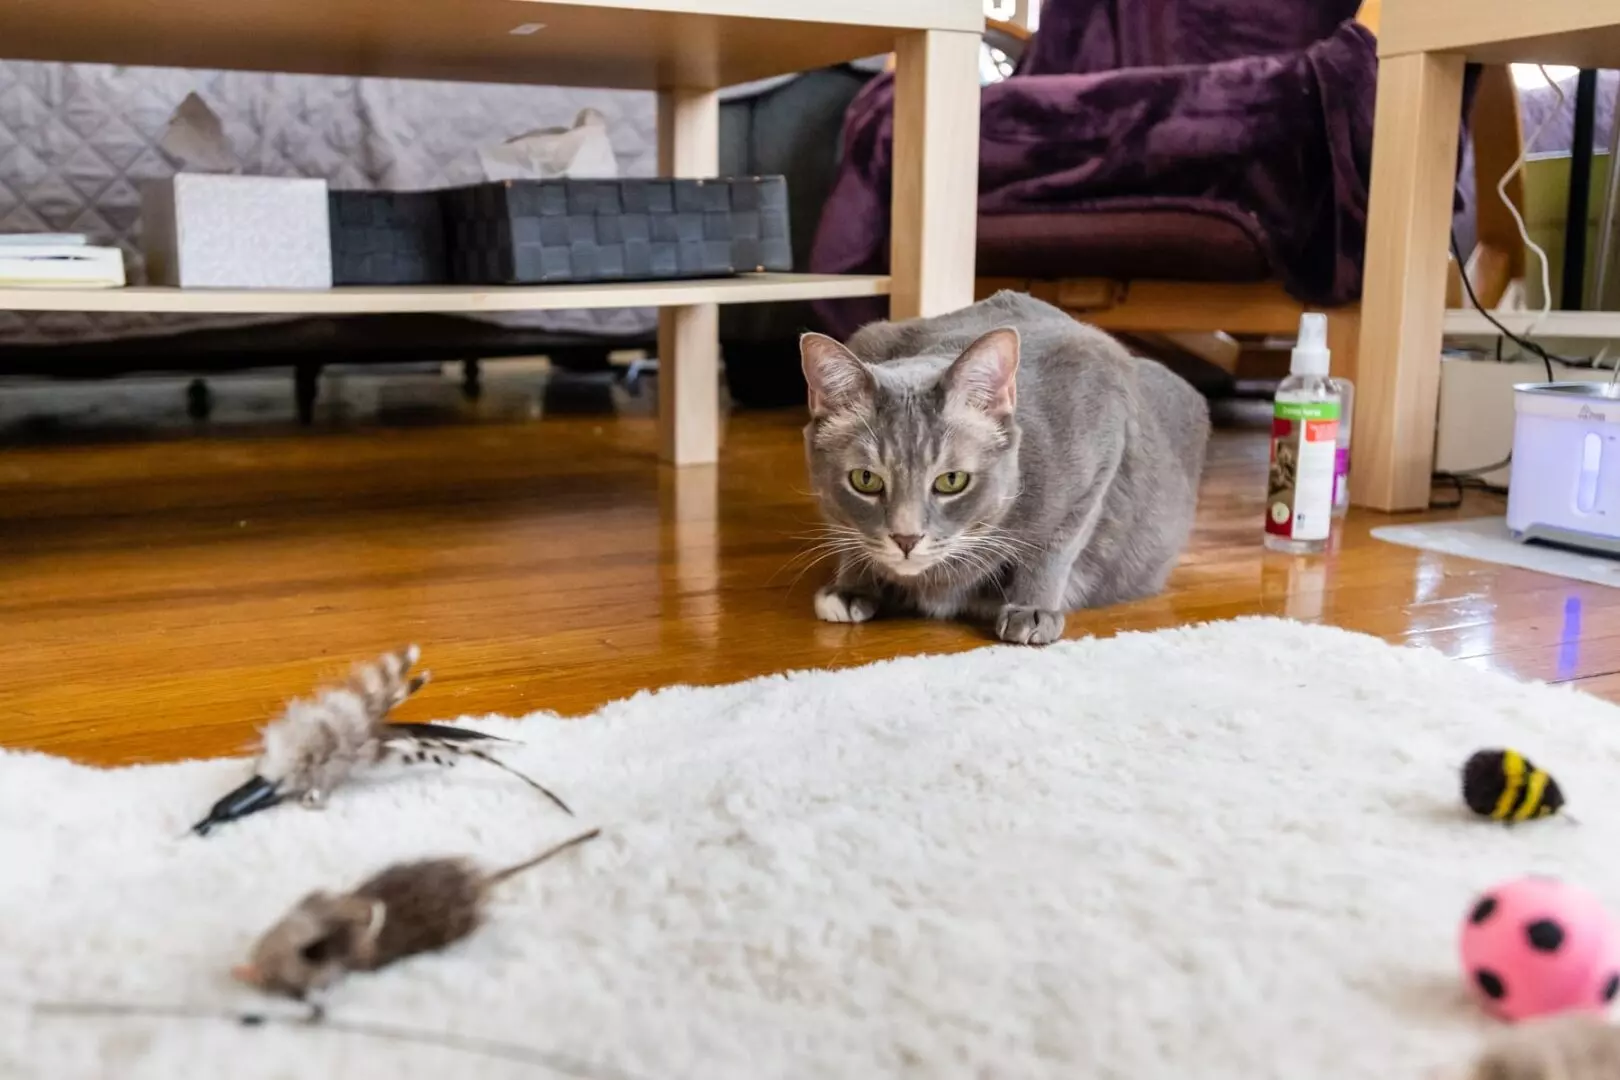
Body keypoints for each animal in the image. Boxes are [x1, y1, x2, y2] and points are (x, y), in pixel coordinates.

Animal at [803, 289, 1211, 641]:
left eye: (952, 480)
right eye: (865, 479)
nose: (906, 538)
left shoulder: (1100, 438)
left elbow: (1057, 543)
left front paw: (1033, 608)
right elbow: (847, 534)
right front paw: (851, 586)